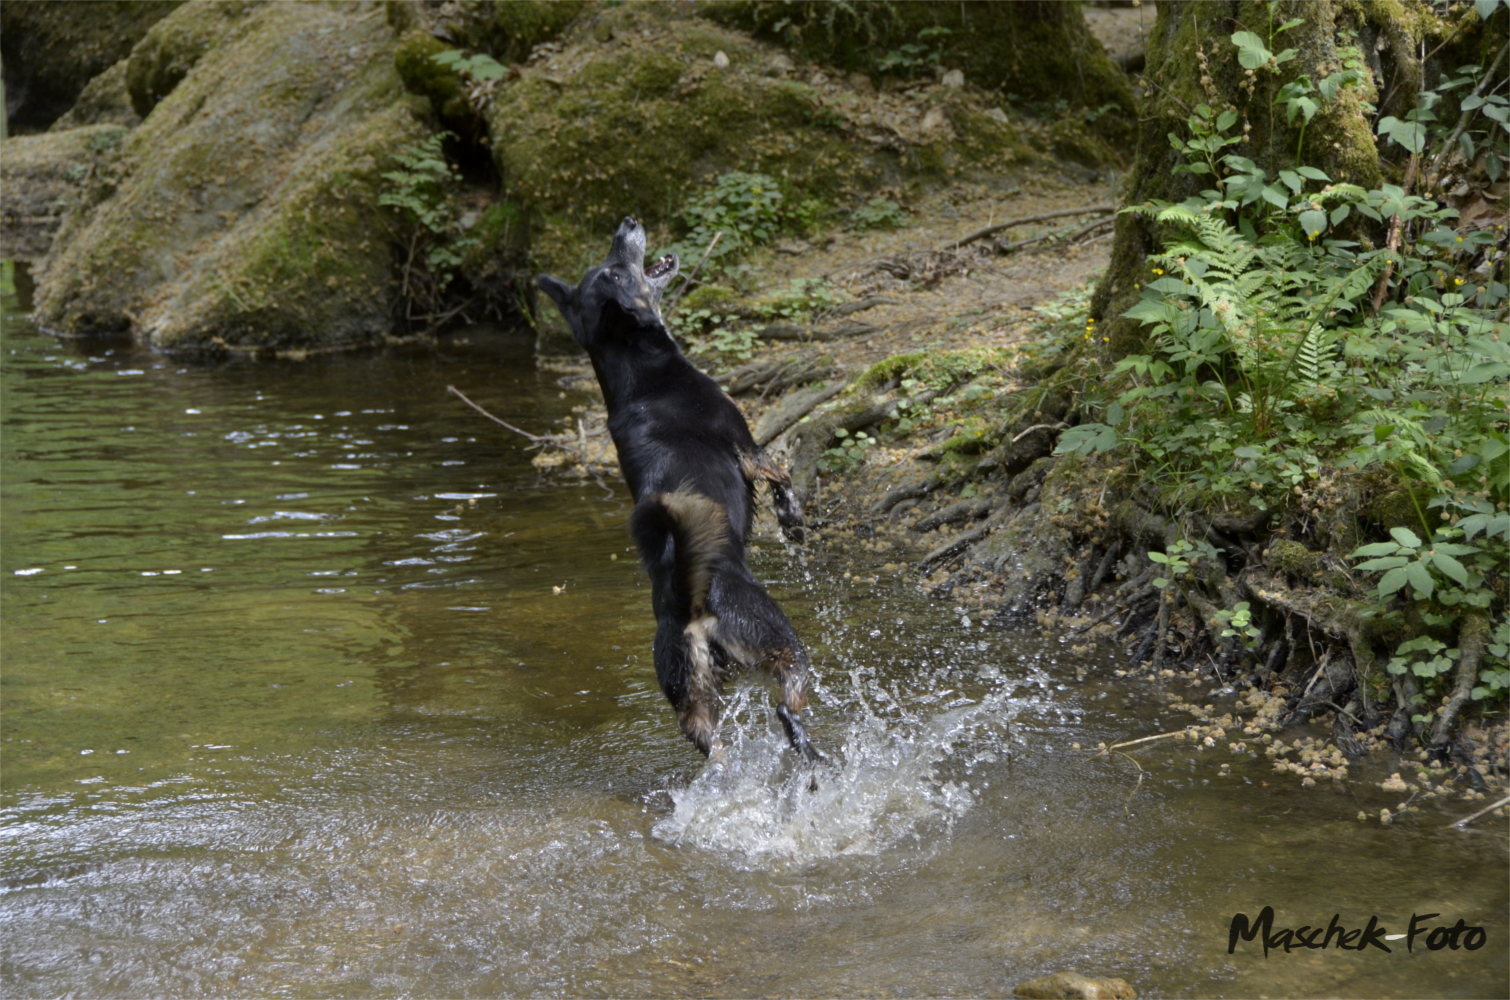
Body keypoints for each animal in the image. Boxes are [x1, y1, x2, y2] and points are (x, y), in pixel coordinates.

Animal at [540, 219, 827, 764]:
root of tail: (687, 599)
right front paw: (794, 524)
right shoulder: (747, 447)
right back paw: (813, 753)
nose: (627, 222)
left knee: (716, 750)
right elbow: (781, 474)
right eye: (617, 266)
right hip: (782, 645)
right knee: (787, 708)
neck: (638, 372)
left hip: (692, 699)